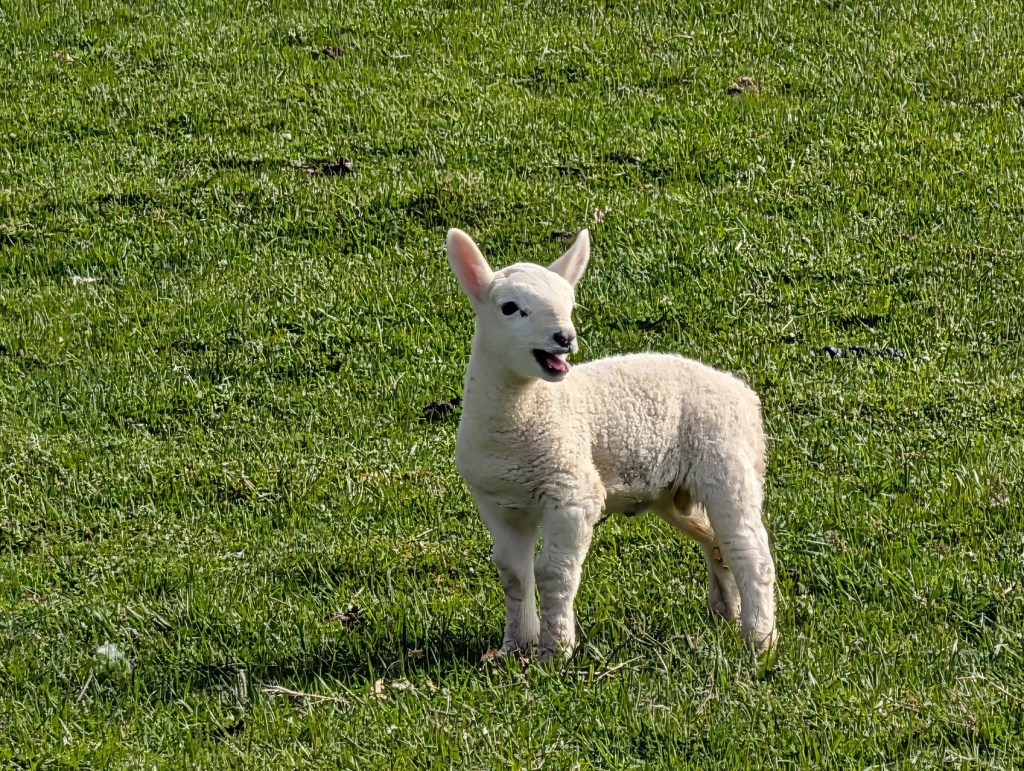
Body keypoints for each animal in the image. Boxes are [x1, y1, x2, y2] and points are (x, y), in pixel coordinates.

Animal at [446, 227, 777, 661]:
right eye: (510, 308)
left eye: (569, 305)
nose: (564, 337)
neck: (519, 421)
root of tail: (744, 393)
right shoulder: (497, 502)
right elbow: (513, 575)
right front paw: (515, 647)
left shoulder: (572, 491)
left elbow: (552, 573)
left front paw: (555, 651)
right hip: (674, 492)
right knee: (715, 537)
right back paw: (727, 611)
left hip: (727, 458)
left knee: (749, 548)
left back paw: (759, 638)